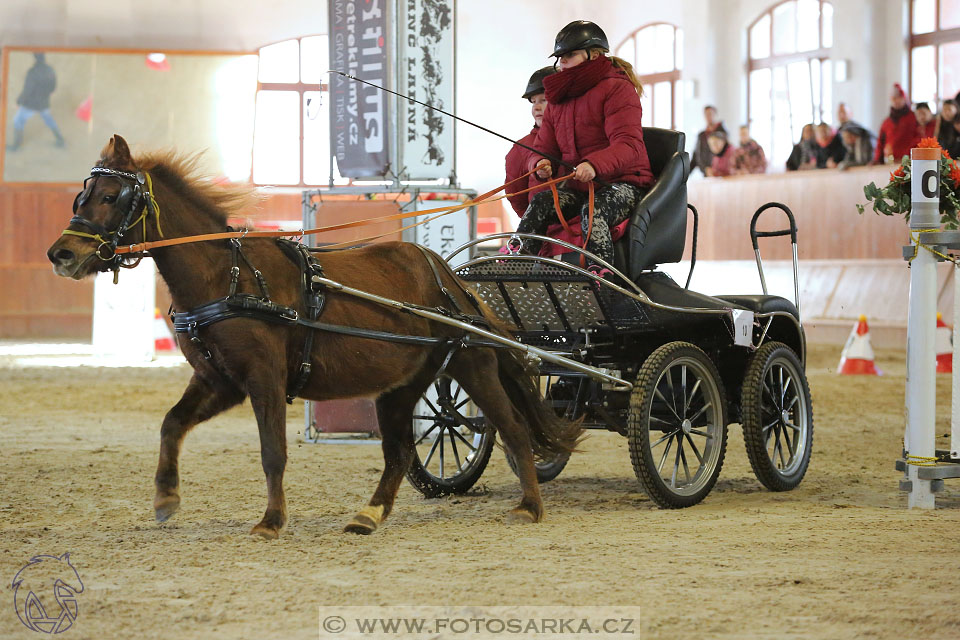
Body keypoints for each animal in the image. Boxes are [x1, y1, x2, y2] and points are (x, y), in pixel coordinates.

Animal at [48, 136, 580, 540]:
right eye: (81, 197)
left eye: (112, 196)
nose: (61, 254)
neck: (227, 276)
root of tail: (450, 276)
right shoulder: (219, 379)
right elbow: (171, 424)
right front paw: (165, 498)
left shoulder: (262, 377)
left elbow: (272, 451)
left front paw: (270, 520)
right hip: (401, 385)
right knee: (400, 451)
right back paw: (369, 515)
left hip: (472, 365)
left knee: (512, 427)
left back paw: (529, 506)